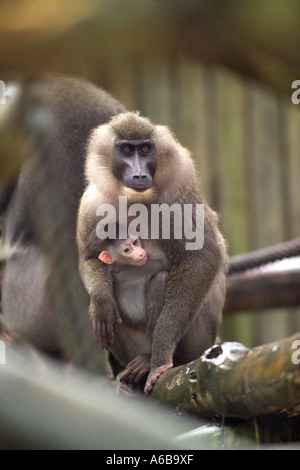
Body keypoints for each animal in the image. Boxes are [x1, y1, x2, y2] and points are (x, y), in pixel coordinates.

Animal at [77, 112, 227, 394]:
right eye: (127, 150)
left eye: (145, 150)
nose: (139, 175)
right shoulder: (92, 202)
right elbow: (88, 258)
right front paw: (101, 302)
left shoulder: (179, 190)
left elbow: (203, 256)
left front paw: (160, 356)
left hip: (195, 342)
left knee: (161, 280)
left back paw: (149, 360)